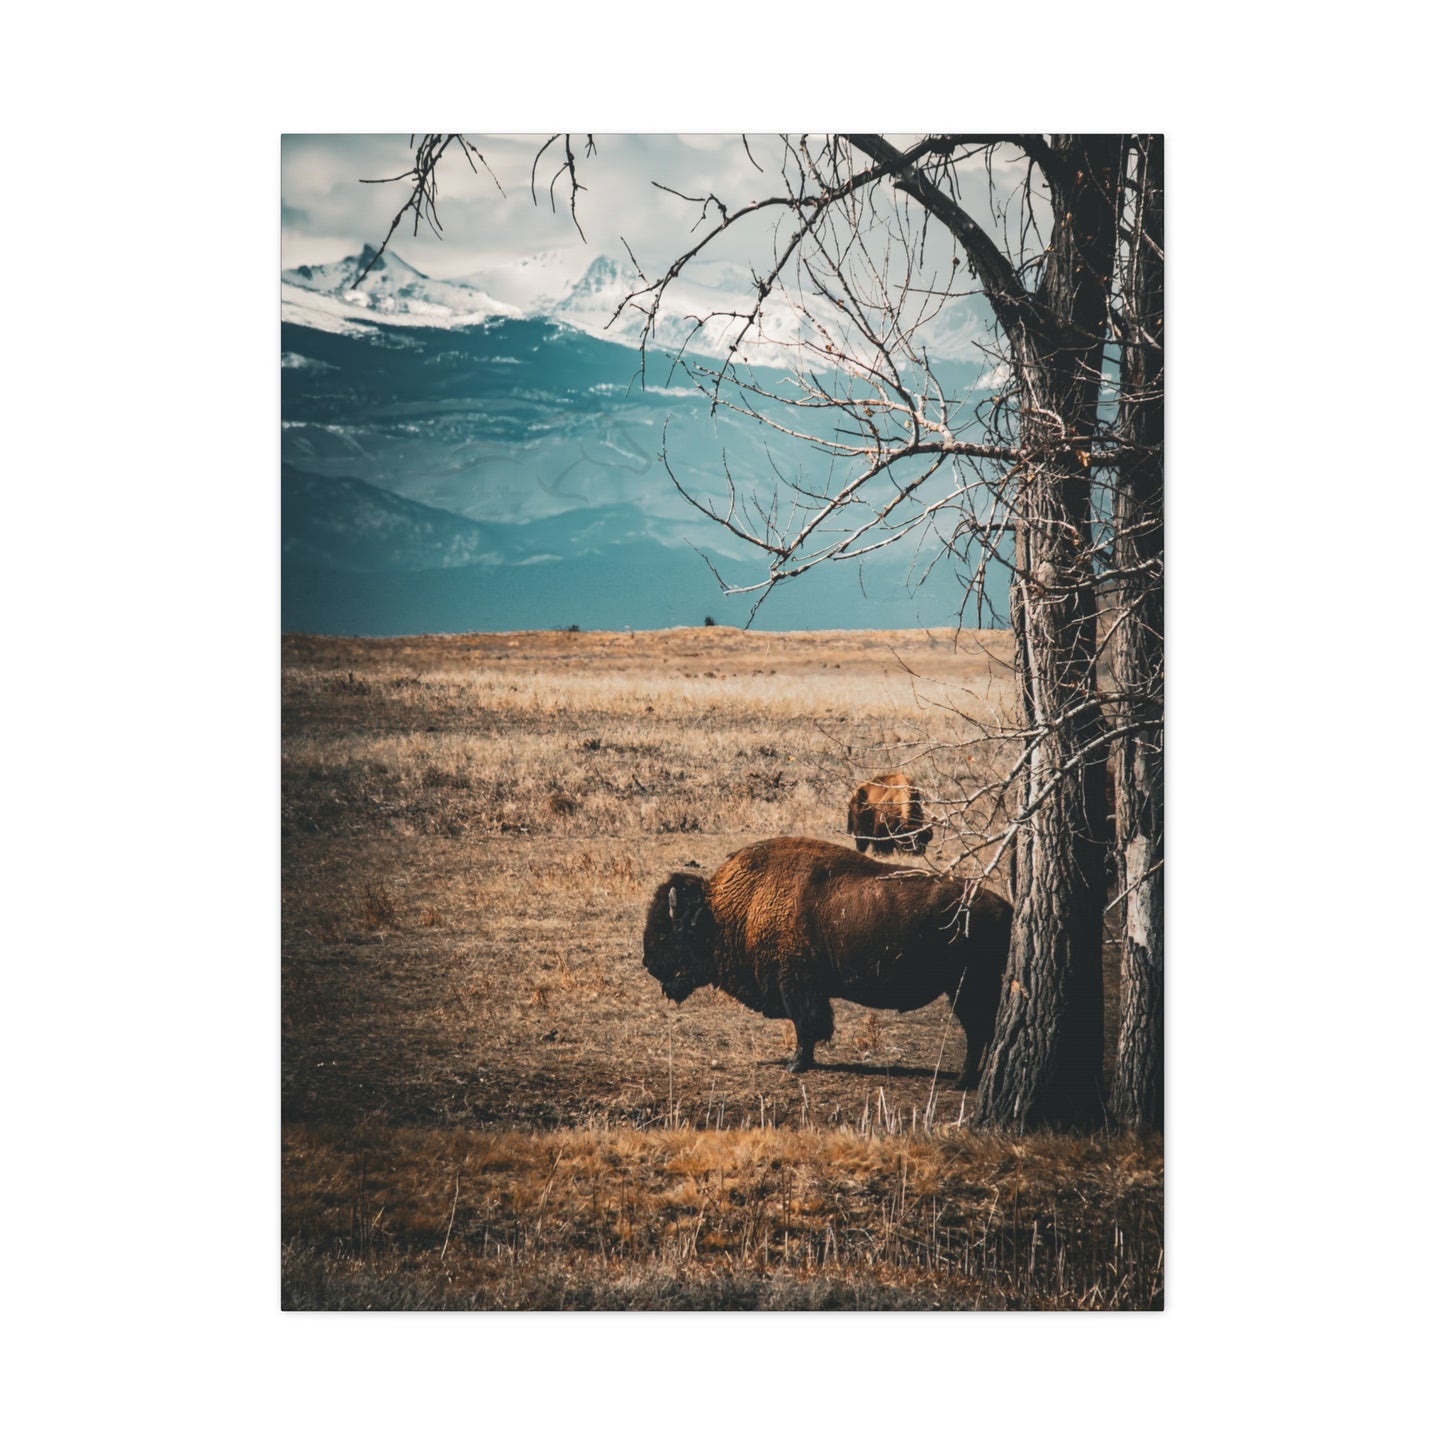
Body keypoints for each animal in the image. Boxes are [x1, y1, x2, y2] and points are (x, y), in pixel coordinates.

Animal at [642, 836, 1009, 1086]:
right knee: (982, 1031)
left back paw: (962, 1082)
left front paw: (796, 1064)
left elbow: (807, 1026)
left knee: (978, 1031)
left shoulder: (797, 985)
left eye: (666, 930)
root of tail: (1003, 907)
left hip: (966, 989)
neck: (732, 908)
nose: (648, 962)